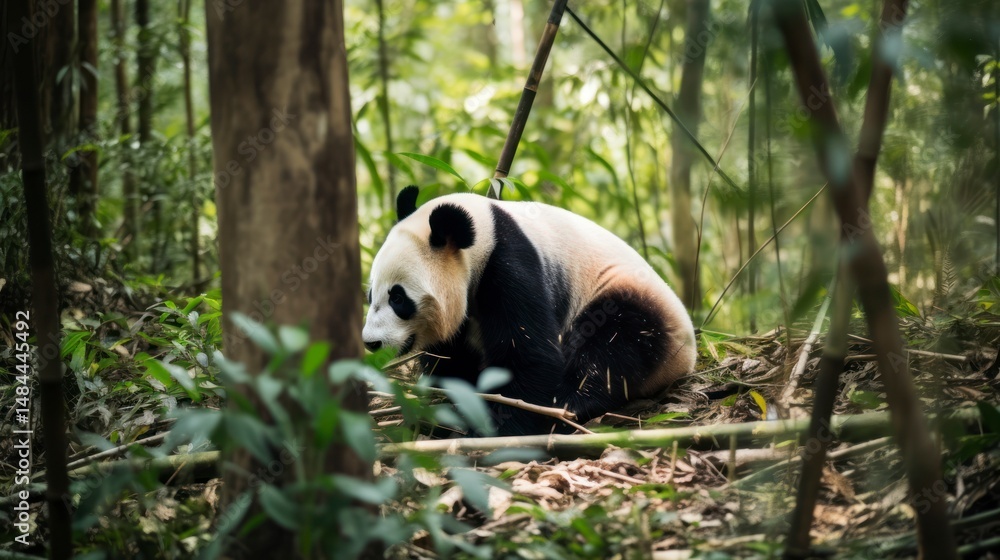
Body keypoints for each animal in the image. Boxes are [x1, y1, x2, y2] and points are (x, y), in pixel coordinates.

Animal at [362, 186, 697, 436]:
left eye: (398, 298)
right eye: (370, 294)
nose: (371, 342)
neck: (484, 229)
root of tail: (686, 361)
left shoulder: (510, 263)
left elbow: (528, 353)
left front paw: (498, 427)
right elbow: (453, 362)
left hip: (628, 299)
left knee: (612, 347)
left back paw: (567, 405)